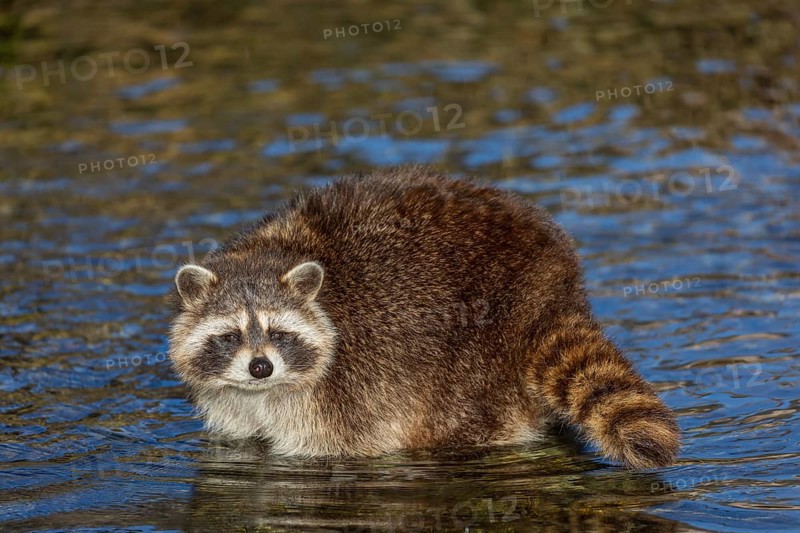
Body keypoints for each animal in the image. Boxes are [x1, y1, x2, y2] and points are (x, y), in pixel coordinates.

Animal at [168, 166, 680, 469]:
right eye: (230, 336)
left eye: (279, 332)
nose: (261, 367)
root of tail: (552, 288)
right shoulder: (231, 404)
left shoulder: (347, 395)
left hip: (473, 357)